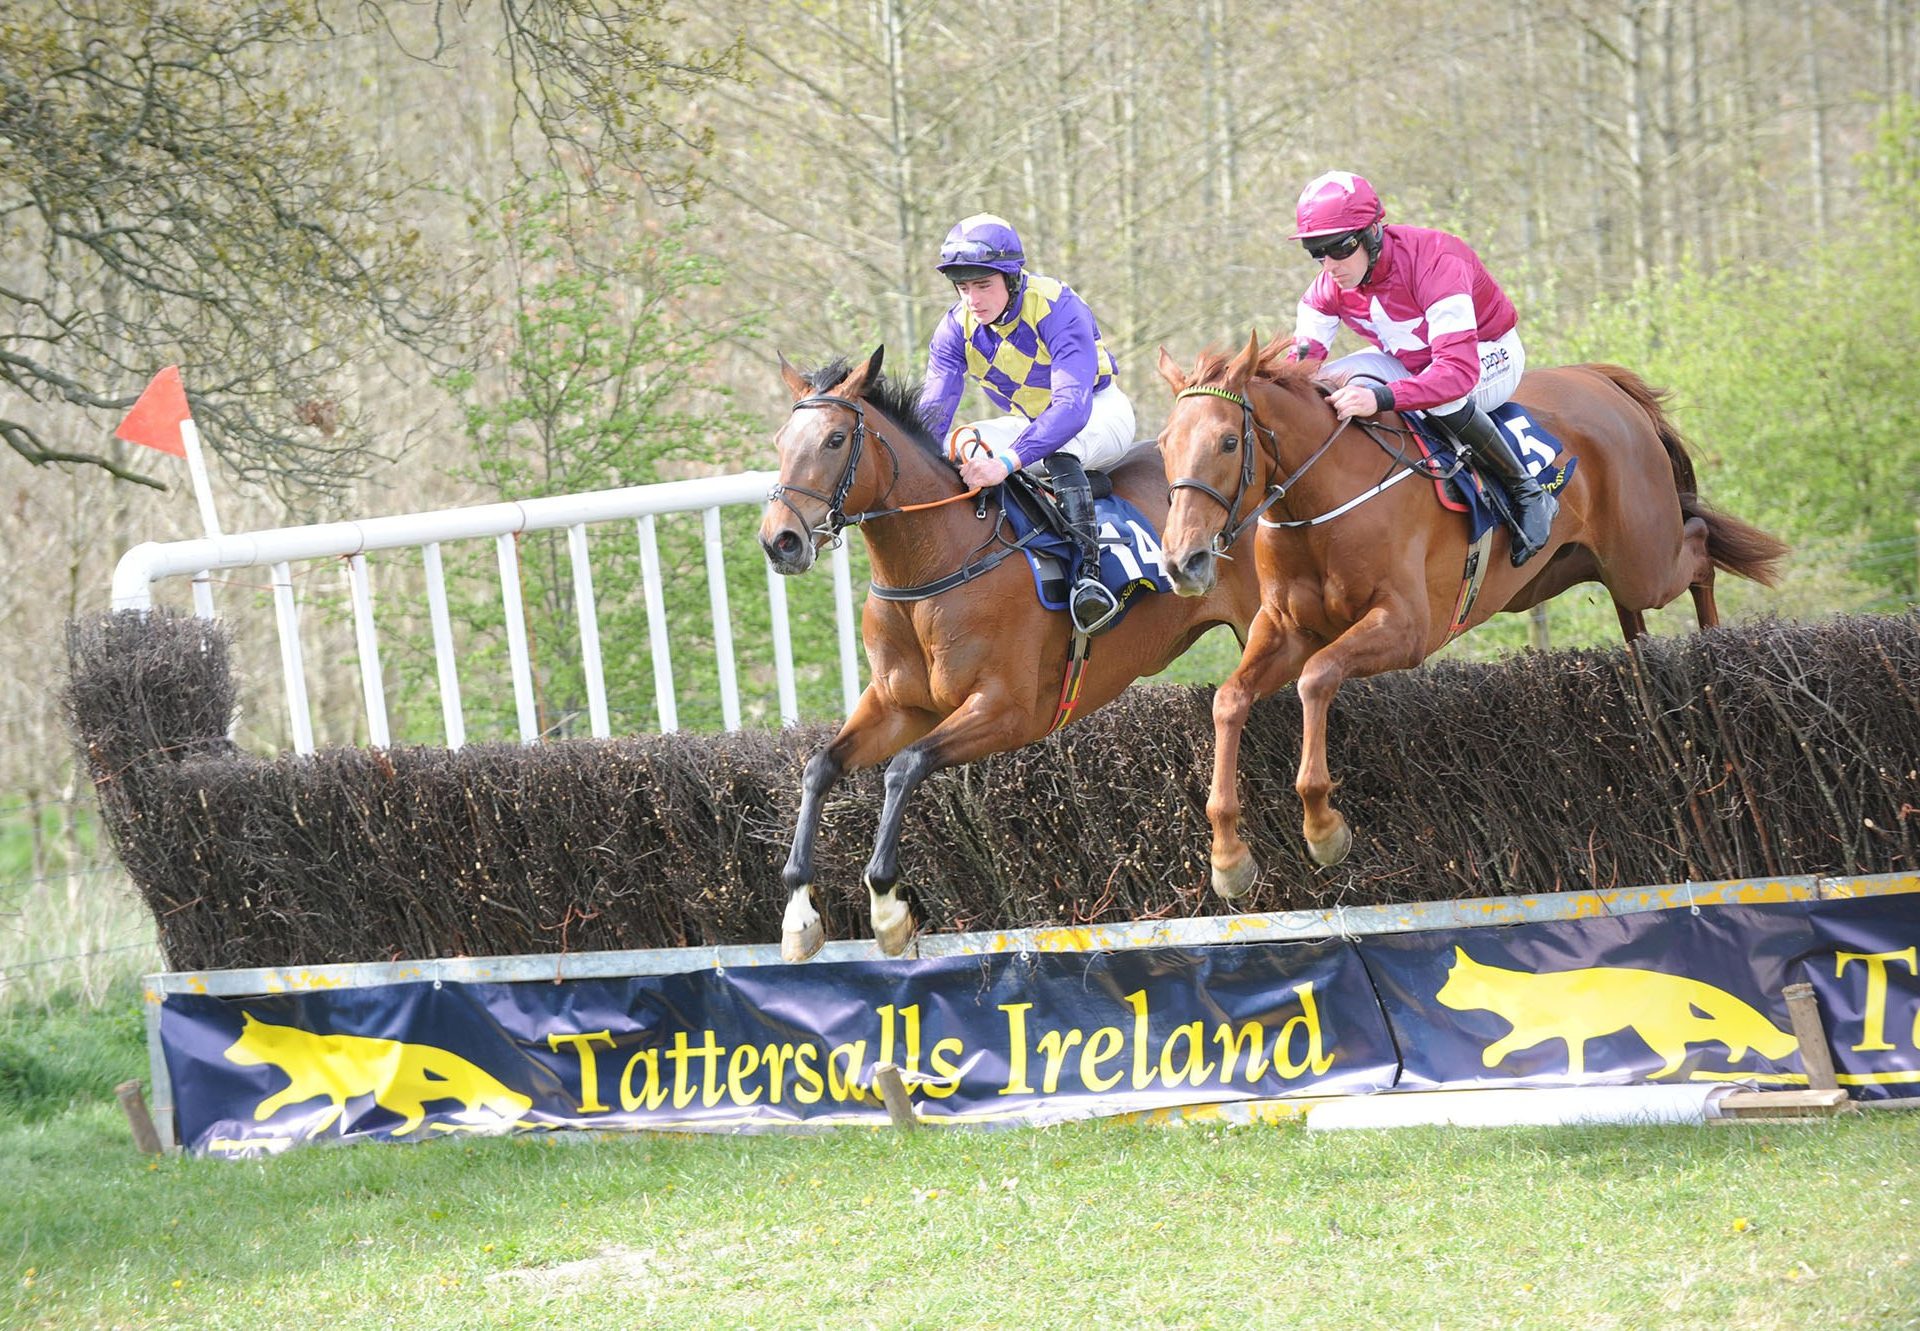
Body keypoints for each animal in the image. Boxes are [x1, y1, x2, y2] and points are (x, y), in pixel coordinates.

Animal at [756, 347, 1267, 960]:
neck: (934, 562)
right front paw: (798, 915)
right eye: (781, 439)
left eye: (835, 439)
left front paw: (887, 907)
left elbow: (905, 766)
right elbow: (819, 767)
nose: (780, 541)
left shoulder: (1010, 711)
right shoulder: (898, 705)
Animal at [1144, 330, 1789, 891]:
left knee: (1699, 548)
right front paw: (1228, 857)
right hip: (1576, 567)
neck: (1320, 498)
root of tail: (1599, 380)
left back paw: (1712, 649)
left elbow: (1316, 678)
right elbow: (1230, 700)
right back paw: (1644, 659)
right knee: (1634, 605)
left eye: (1229, 441)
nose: (1183, 561)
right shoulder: (1284, 628)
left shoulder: (1406, 629)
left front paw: (1323, 828)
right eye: (1165, 444)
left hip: (1644, 555)